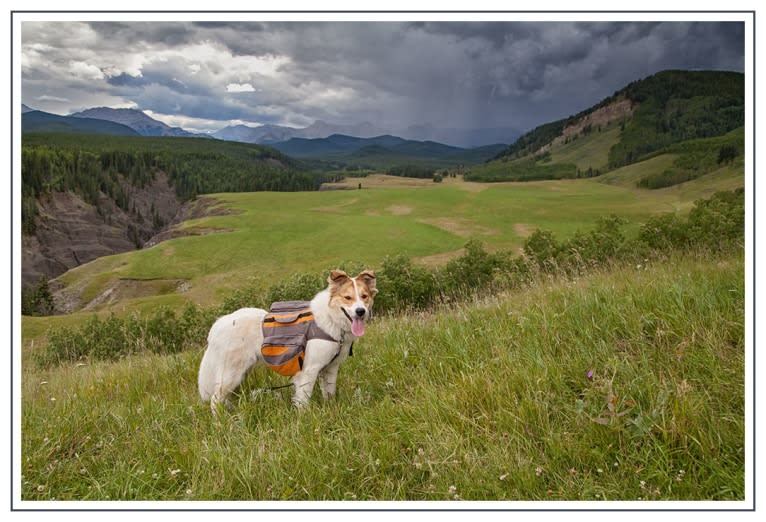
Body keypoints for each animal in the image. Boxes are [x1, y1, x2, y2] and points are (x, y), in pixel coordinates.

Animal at [198, 268, 378, 410]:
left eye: (364, 296)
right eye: (348, 298)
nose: (360, 311)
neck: (331, 318)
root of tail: (219, 324)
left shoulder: (330, 369)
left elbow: (329, 394)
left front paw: (331, 410)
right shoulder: (308, 371)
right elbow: (303, 401)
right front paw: (305, 421)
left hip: (240, 373)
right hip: (231, 374)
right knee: (215, 400)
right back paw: (221, 423)